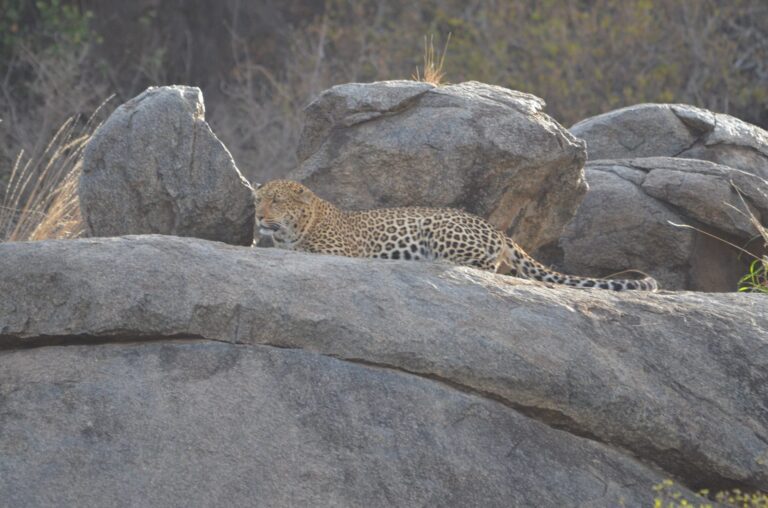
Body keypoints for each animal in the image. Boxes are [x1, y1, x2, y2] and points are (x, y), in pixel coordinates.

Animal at [253, 179, 658, 291]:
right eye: (258, 199)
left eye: (275, 200)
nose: (257, 215)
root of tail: (495, 228)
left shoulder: (341, 251)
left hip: (441, 228)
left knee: (489, 265)